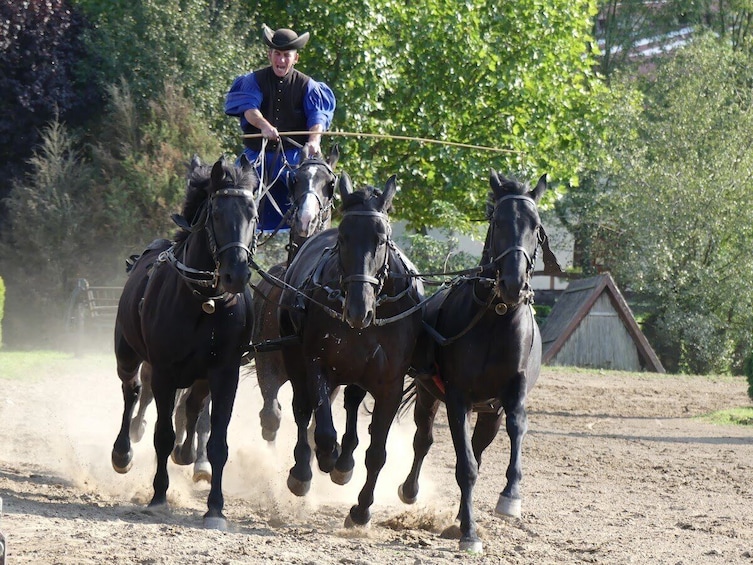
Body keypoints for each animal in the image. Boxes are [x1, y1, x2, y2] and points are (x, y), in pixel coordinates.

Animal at [111, 154, 258, 528]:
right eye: (217, 214)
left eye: (253, 214)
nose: (237, 274)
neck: (204, 301)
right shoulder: (164, 370)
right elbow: (162, 434)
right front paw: (159, 496)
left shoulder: (225, 373)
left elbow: (218, 440)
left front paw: (215, 508)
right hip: (127, 353)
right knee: (132, 391)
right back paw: (123, 452)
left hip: (201, 376)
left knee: (192, 406)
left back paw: (189, 452)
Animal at [280, 174, 426, 528]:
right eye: (344, 238)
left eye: (382, 239)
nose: (360, 309)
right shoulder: (316, 362)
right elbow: (322, 428)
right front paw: (324, 458)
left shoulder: (390, 384)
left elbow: (377, 452)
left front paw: (361, 509)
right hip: (294, 356)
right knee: (303, 411)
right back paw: (306, 469)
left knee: (351, 403)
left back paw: (345, 462)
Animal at [400, 171, 552, 552]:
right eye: (498, 222)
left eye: (536, 226)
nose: (514, 283)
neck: (496, 317)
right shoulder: (457, 398)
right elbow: (464, 465)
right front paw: (469, 533)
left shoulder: (511, 395)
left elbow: (516, 428)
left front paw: (510, 497)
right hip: (428, 395)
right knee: (424, 440)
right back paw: (411, 491)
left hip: (488, 414)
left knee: (479, 450)